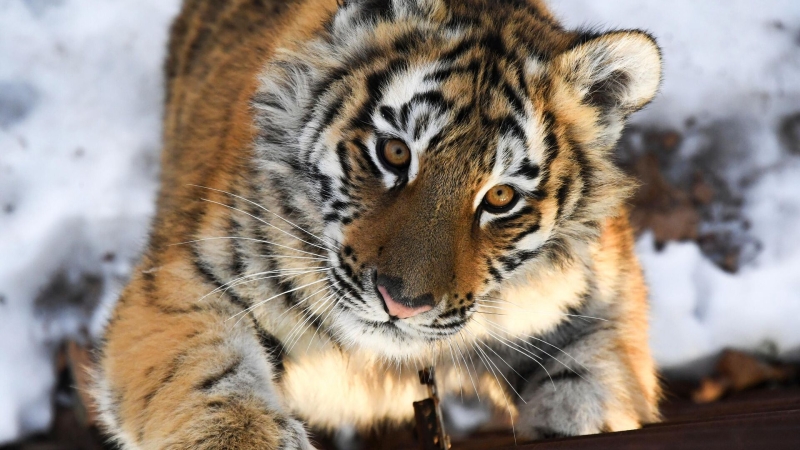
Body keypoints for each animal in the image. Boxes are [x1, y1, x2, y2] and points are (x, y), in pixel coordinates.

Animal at [95, 0, 664, 446]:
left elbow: (591, 388)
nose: (402, 303)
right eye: (394, 152)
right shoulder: (187, 283)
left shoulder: (600, 303)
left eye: (500, 197)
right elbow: (208, 377)